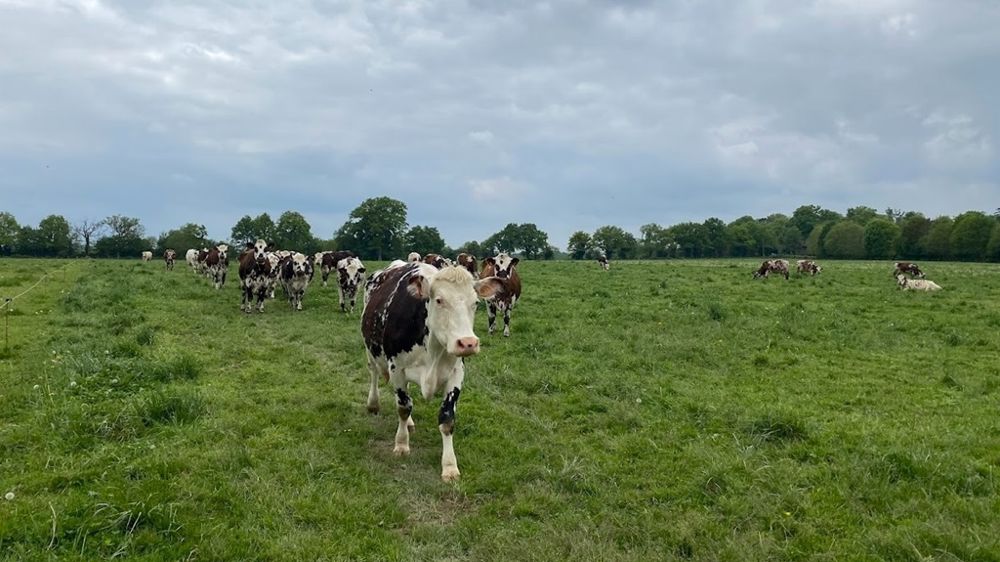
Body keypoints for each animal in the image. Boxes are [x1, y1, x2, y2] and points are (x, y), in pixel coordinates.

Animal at [361, 261, 505, 481]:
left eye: (475, 303)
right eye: (439, 300)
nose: (468, 343)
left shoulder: (456, 373)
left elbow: (447, 419)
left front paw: (450, 466)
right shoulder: (397, 369)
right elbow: (403, 408)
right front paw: (401, 444)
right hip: (370, 351)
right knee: (374, 373)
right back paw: (373, 403)